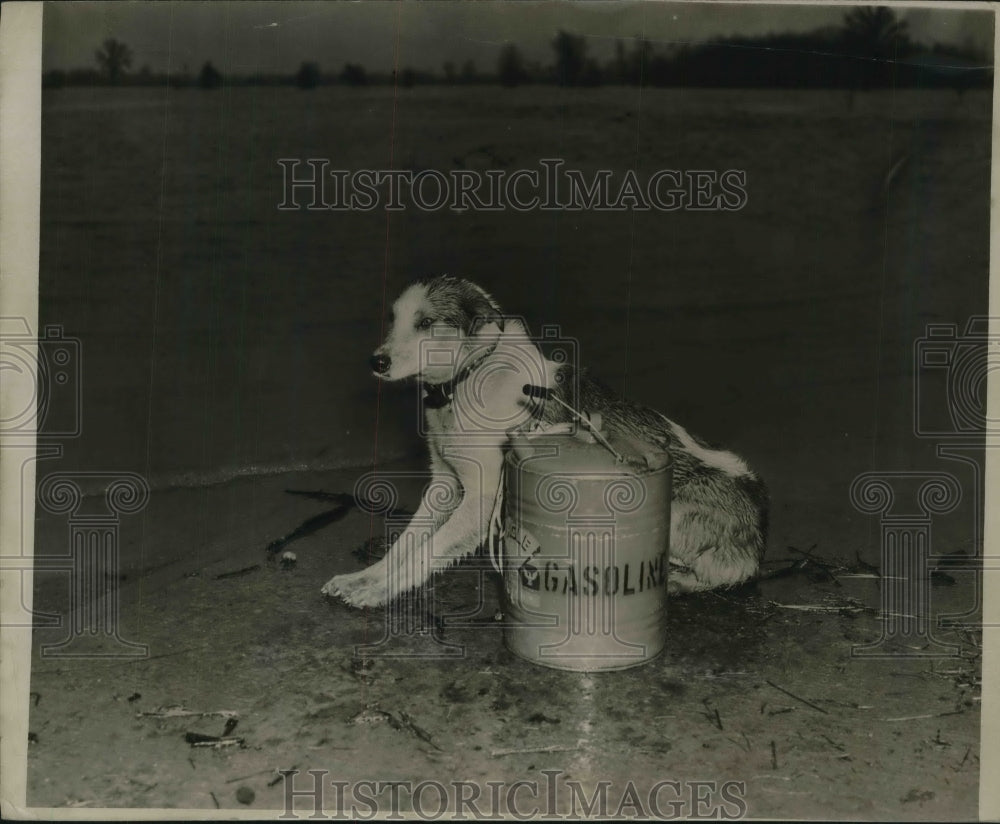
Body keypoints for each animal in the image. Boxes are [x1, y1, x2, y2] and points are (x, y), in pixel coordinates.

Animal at [324, 276, 768, 604]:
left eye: (425, 323)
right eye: (394, 320)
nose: (376, 361)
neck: (469, 375)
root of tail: (759, 525)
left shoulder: (481, 499)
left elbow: (424, 553)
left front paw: (379, 592)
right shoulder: (444, 486)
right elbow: (403, 546)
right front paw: (363, 579)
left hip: (670, 511)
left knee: (719, 574)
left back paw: (675, 580)